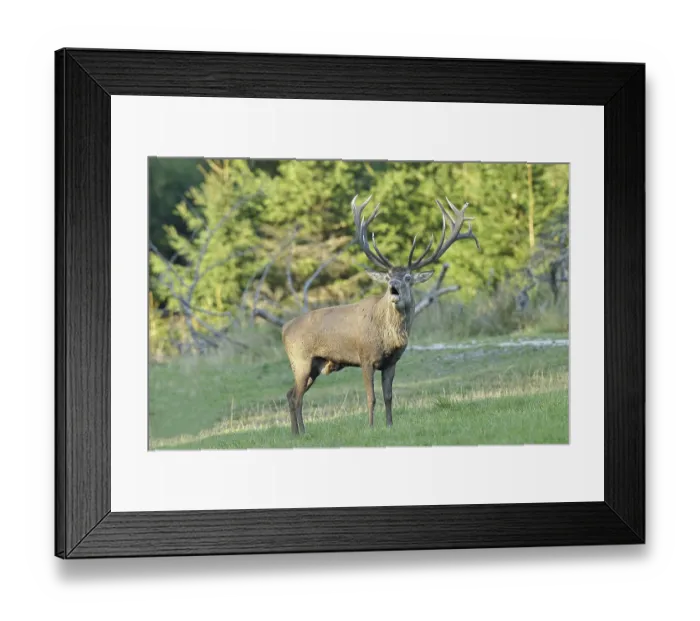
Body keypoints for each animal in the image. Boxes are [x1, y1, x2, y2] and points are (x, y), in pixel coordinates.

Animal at [281, 195, 480, 435]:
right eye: (387, 277)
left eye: (408, 278)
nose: (393, 286)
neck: (388, 336)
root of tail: (284, 329)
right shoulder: (365, 357)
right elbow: (371, 397)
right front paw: (370, 426)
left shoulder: (391, 362)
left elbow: (388, 396)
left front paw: (390, 425)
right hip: (300, 360)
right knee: (296, 397)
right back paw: (300, 433)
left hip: (315, 366)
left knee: (290, 394)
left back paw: (298, 432)